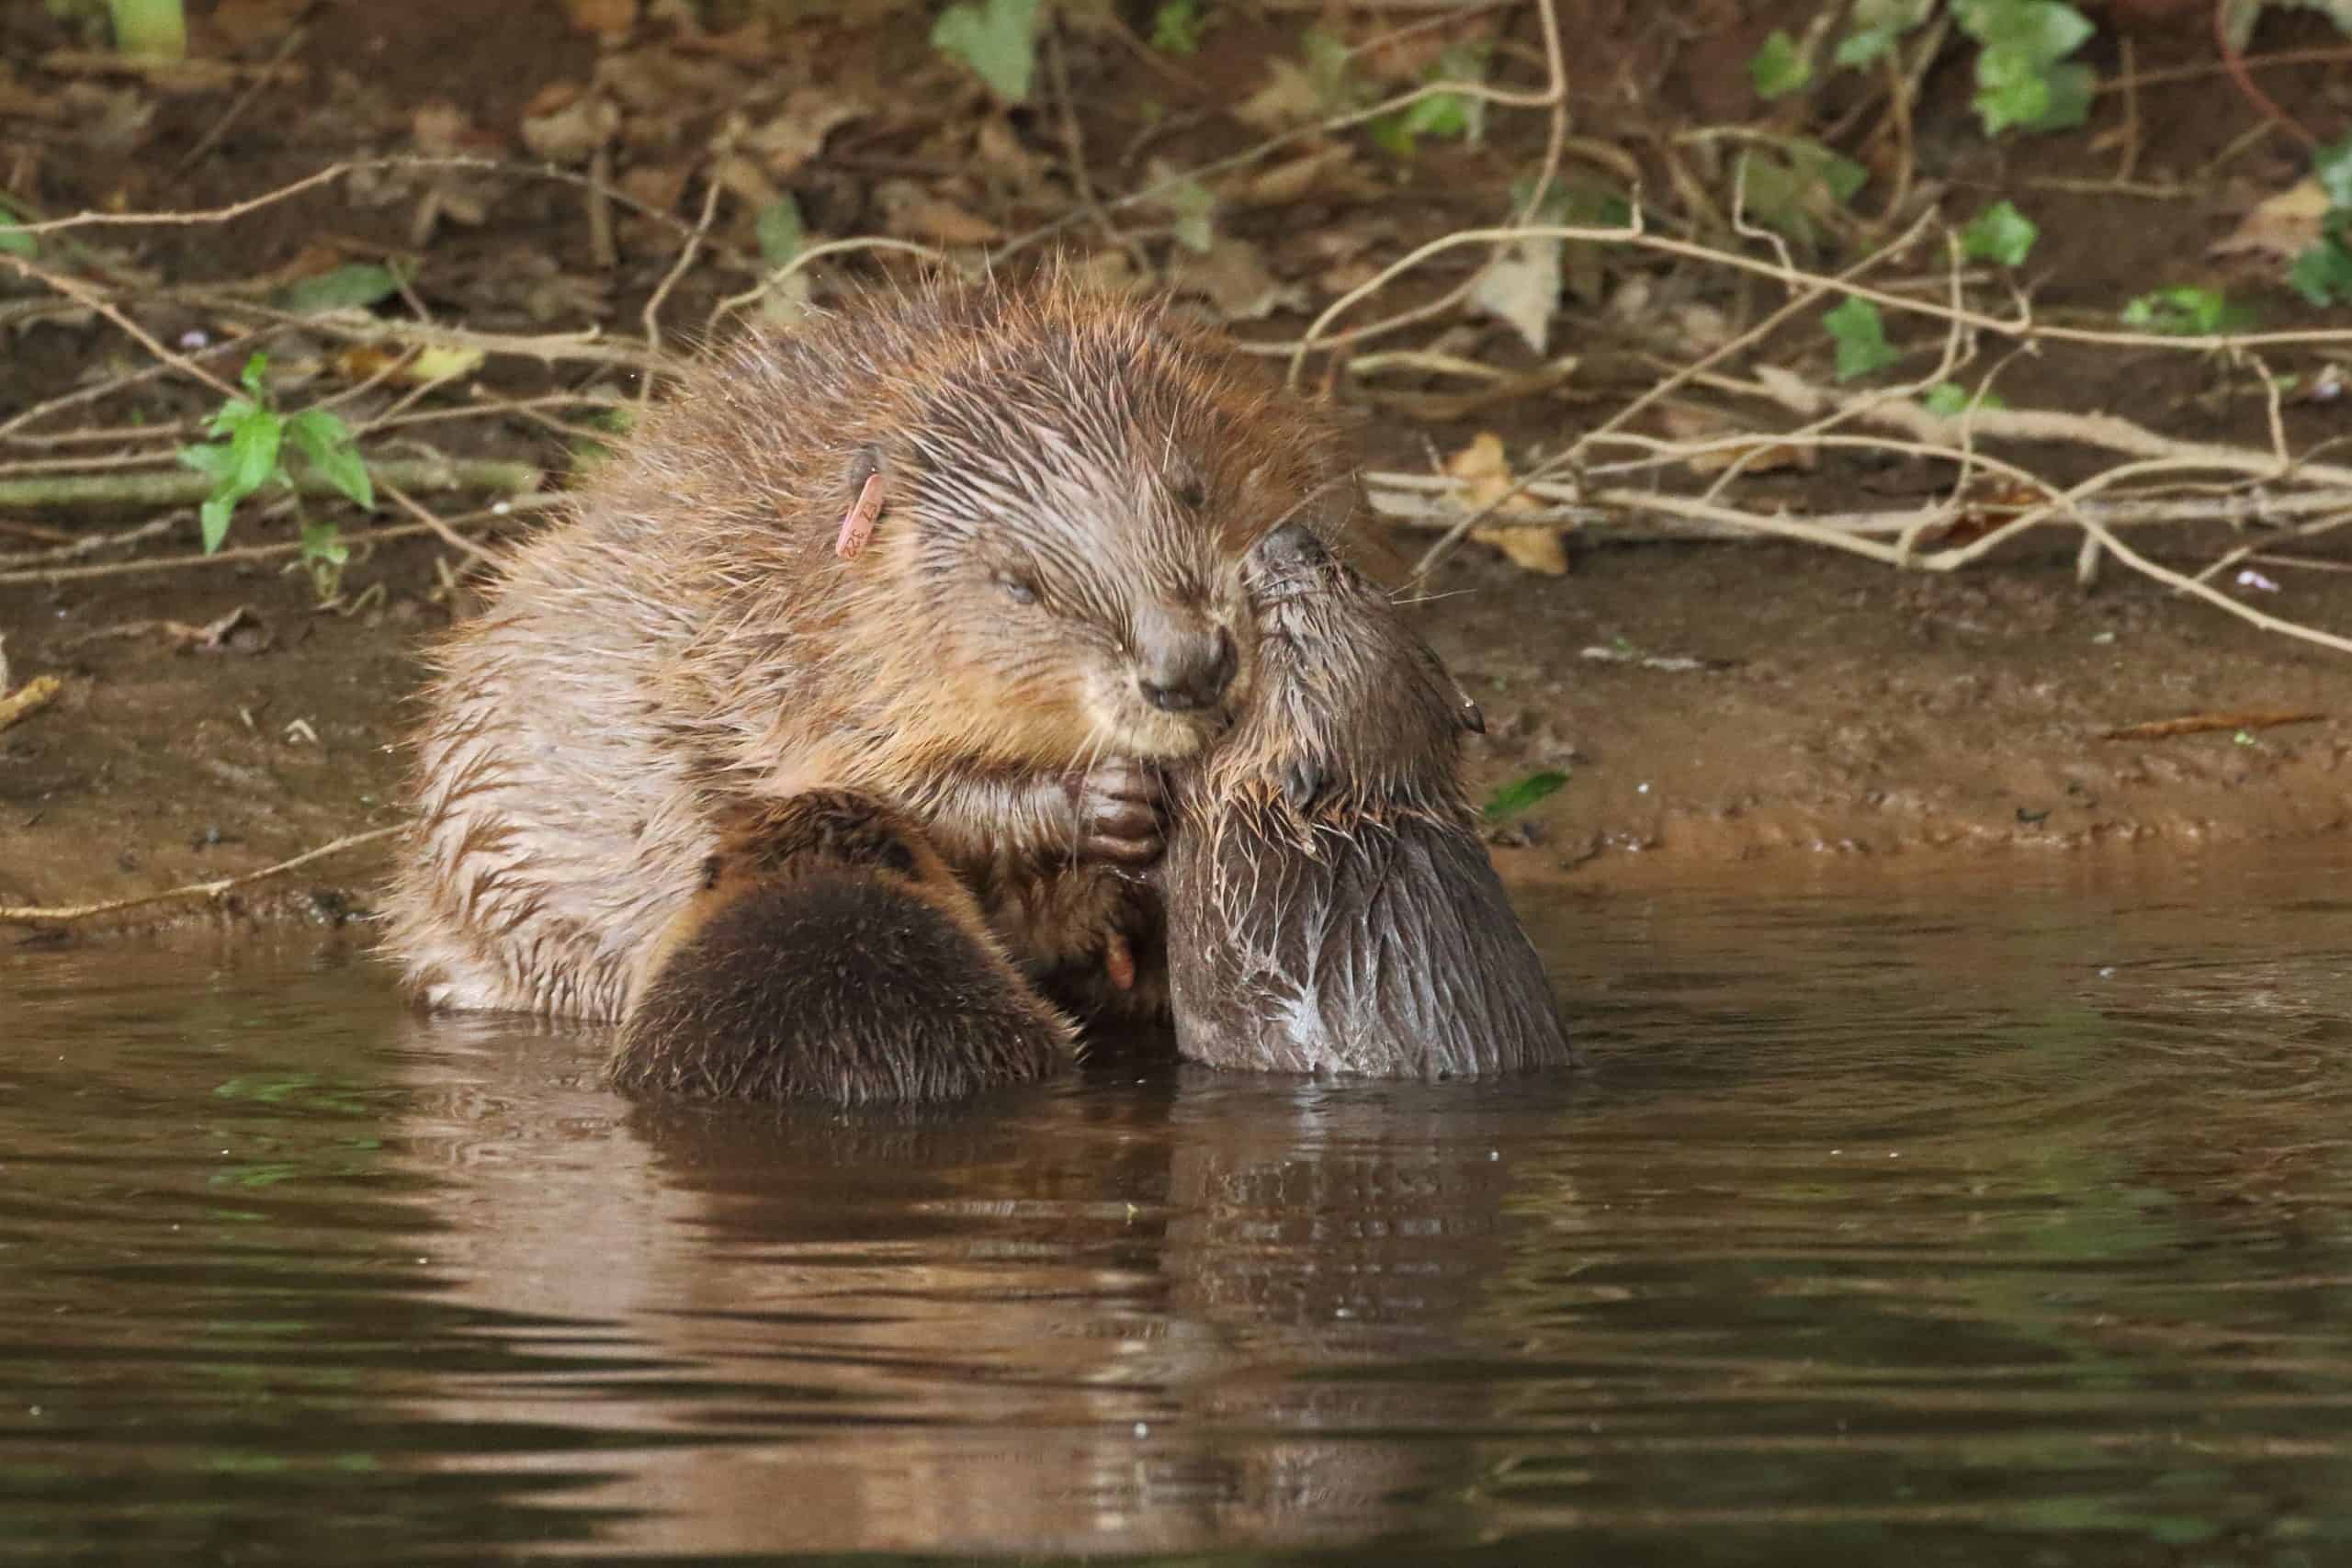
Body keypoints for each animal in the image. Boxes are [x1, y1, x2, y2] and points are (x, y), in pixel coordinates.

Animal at [379, 276, 1354, 1024]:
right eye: (1018, 582)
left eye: (1191, 488)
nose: (1187, 667)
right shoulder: (794, 659)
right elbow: (872, 788)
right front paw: (1108, 803)